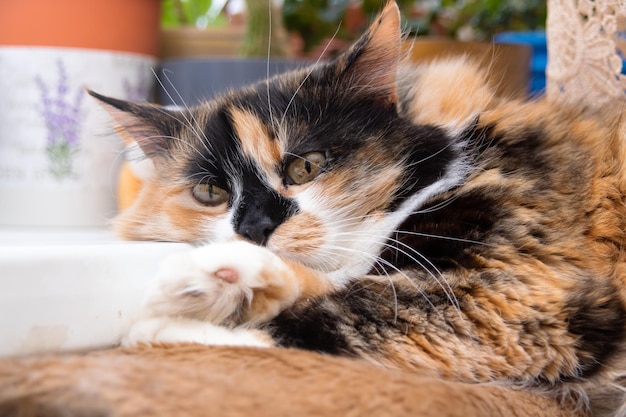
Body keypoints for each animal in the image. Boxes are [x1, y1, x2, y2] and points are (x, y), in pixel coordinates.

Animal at [89, 1, 626, 414]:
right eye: (210, 194)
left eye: (305, 167)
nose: (255, 227)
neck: (464, 145)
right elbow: (332, 283)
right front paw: (231, 281)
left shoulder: (516, 291)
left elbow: (332, 316)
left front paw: (168, 321)